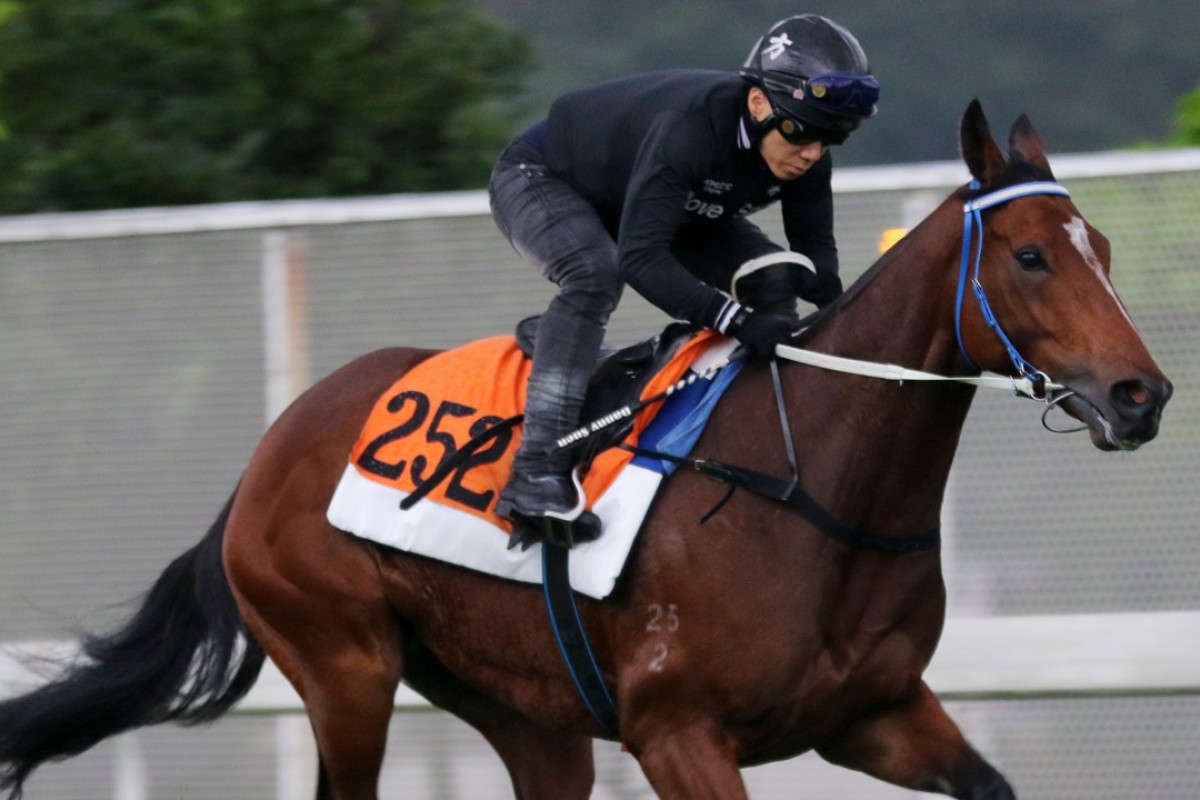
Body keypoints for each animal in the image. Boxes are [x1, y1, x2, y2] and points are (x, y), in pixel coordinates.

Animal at [0, 101, 1166, 800]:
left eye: (1103, 249)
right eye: (1028, 256)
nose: (1141, 394)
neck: (819, 494)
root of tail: (265, 454)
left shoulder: (874, 715)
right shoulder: (678, 733)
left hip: (524, 712)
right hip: (343, 666)